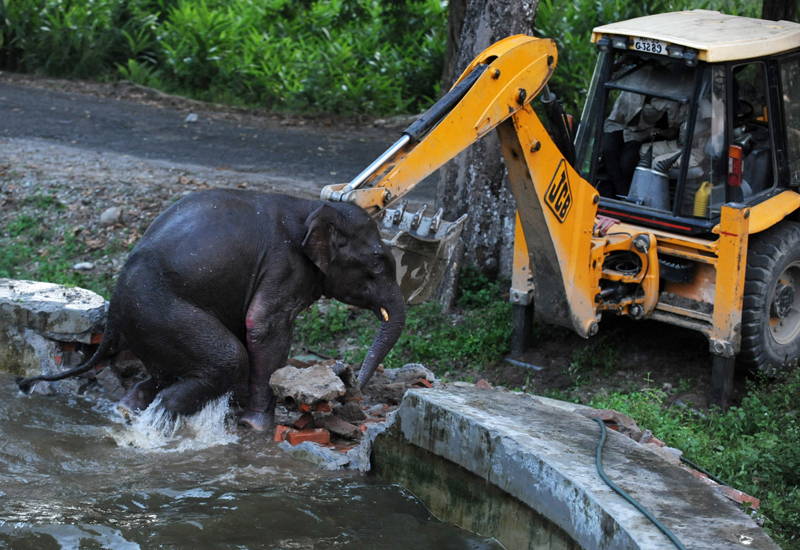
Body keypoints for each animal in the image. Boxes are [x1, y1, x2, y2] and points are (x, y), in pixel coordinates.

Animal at [18, 192, 406, 434]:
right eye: (378, 263)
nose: (353, 385)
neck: (315, 205)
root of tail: (113, 312)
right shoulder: (285, 266)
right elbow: (263, 326)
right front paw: (256, 426)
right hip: (160, 313)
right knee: (226, 360)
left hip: (147, 327)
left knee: (164, 371)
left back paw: (131, 409)